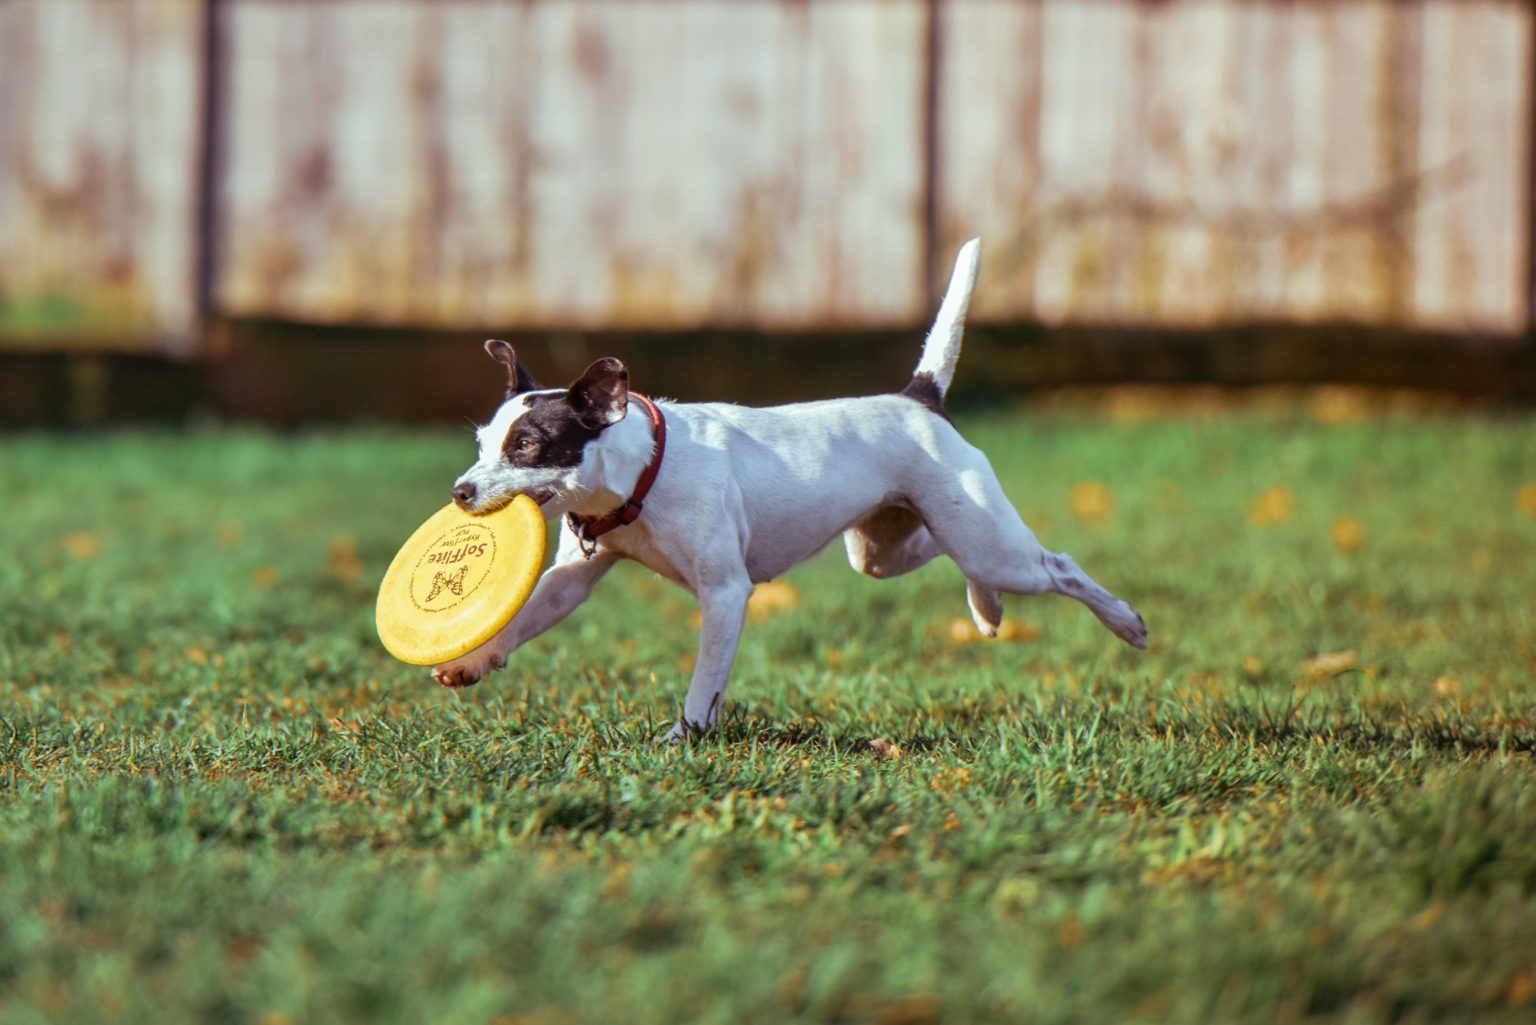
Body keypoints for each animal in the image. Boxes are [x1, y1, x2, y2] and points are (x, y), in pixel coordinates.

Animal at [430, 241, 1142, 737]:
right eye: (482, 443)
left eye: (527, 446)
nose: (461, 492)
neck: (643, 474)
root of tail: (919, 399)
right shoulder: (571, 578)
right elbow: (525, 617)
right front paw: (475, 660)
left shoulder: (725, 594)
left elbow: (704, 683)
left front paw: (683, 739)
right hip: (884, 550)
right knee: (947, 554)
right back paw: (986, 608)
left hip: (992, 545)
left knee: (1059, 566)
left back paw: (1125, 622)